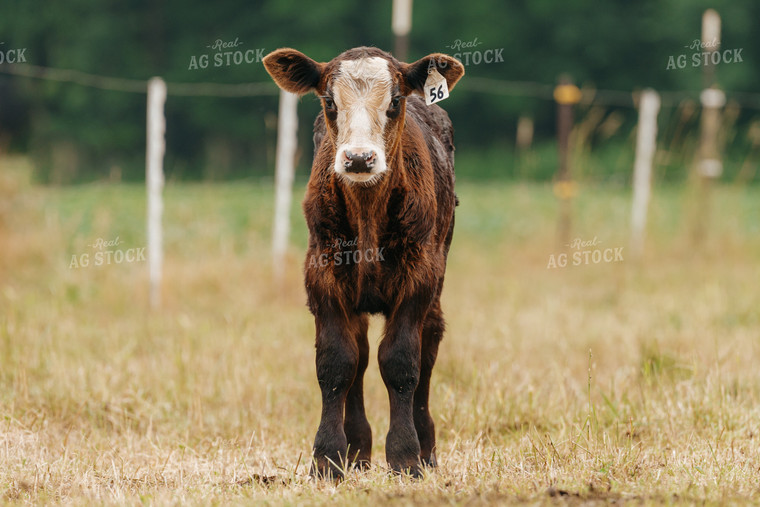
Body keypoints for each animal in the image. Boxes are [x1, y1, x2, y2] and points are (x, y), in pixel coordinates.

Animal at [262, 45, 464, 478]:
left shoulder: (420, 273)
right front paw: (327, 457)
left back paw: (426, 446)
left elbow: (402, 361)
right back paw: (356, 449)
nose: (357, 159)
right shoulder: (321, 272)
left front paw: (406, 455)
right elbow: (337, 361)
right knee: (359, 351)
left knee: (429, 343)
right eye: (328, 101)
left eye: (395, 101)